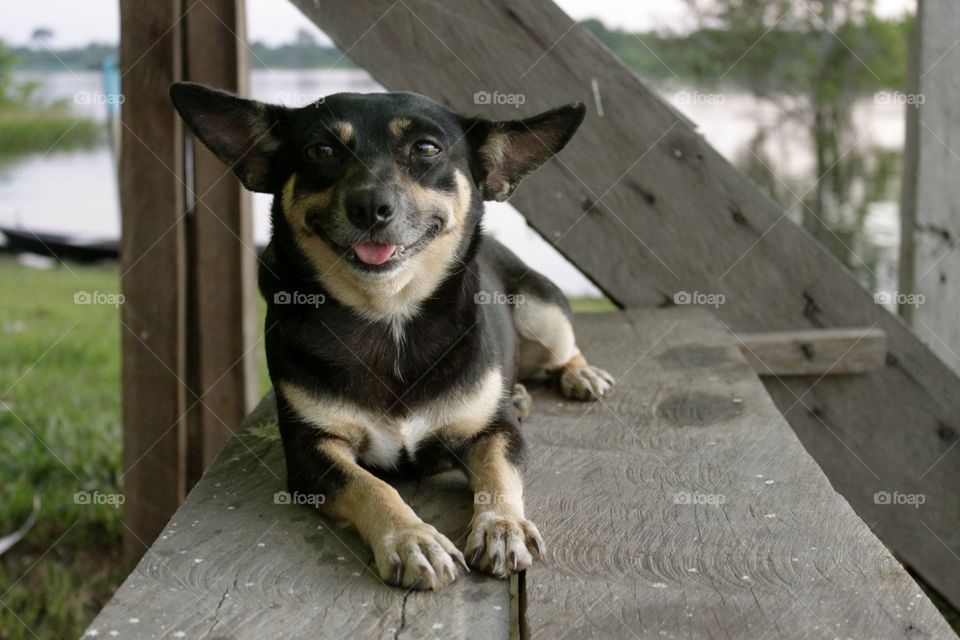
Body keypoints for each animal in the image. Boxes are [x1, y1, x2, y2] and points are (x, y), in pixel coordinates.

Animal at [170, 84, 616, 592]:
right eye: (321, 150)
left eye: (425, 148)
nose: (369, 206)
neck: (389, 314)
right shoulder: (310, 451)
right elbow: (371, 485)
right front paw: (410, 538)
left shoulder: (498, 432)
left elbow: (498, 473)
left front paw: (502, 526)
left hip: (542, 311)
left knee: (563, 351)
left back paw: (579, 376)